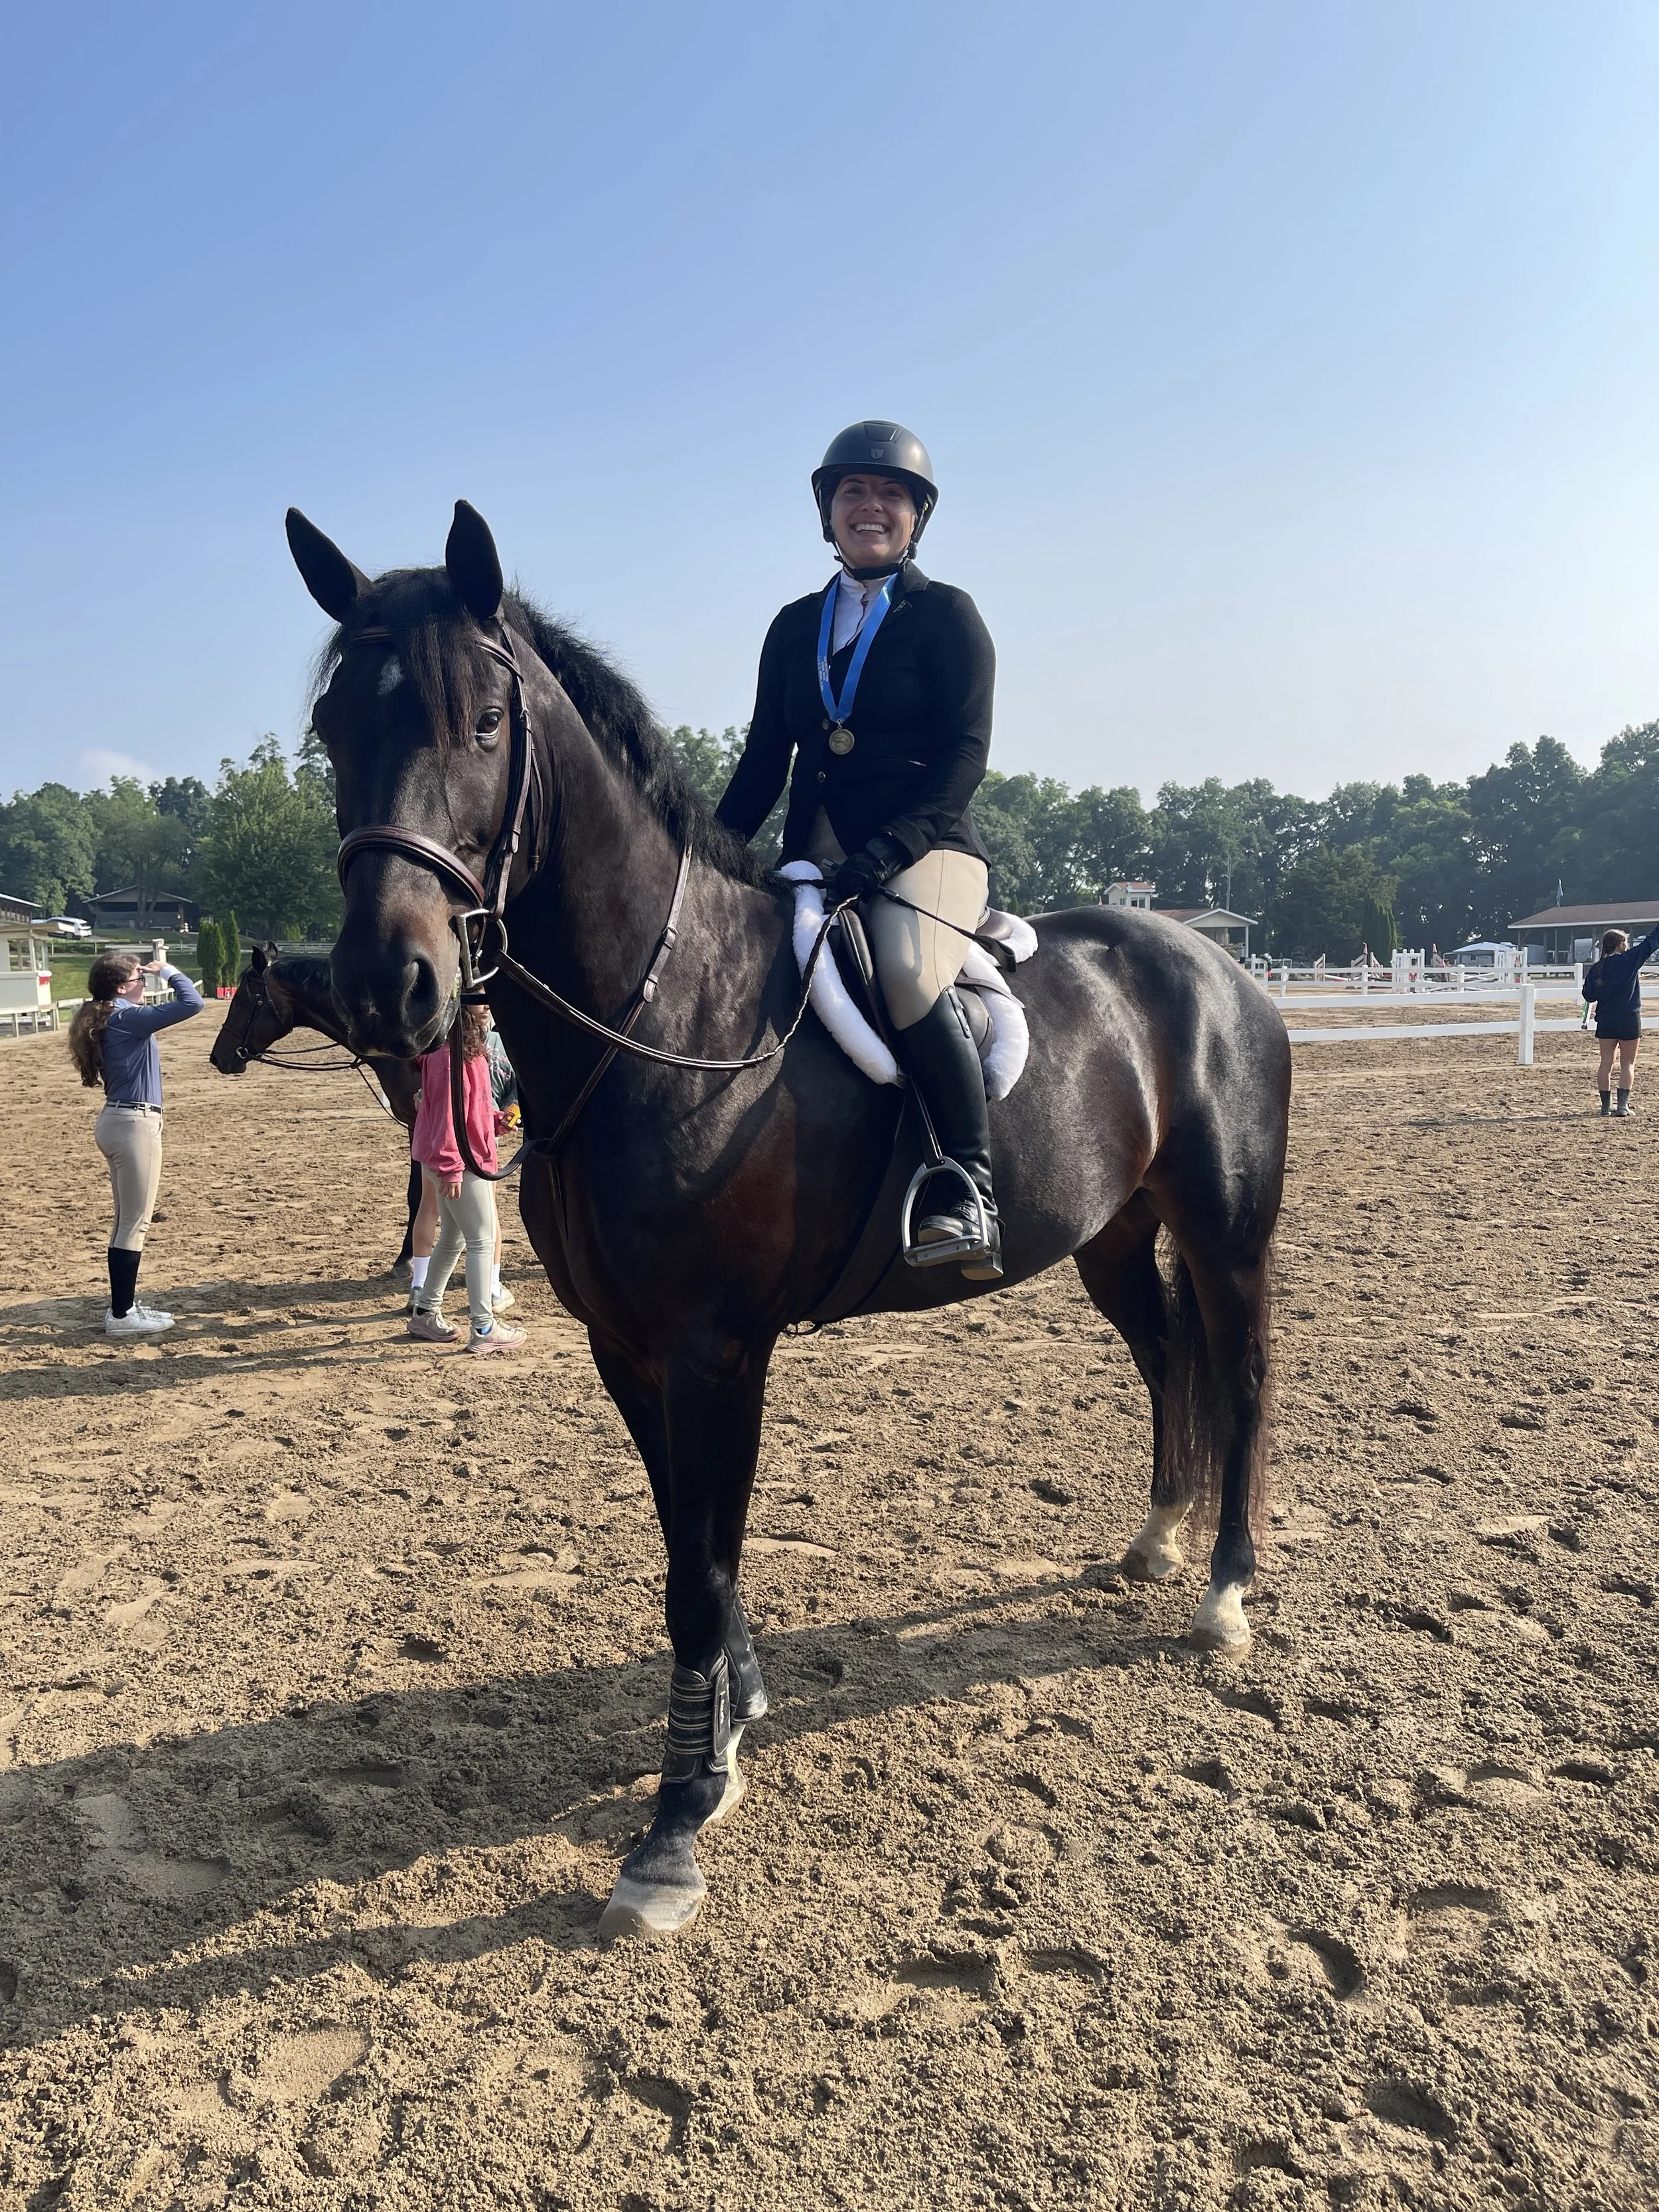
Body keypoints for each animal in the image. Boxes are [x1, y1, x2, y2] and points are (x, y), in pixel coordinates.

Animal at [287, 499, 1292, 1939]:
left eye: (481, 721)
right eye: (333, 728)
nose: (389, 983)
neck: (662, 1018)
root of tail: (1219, 961)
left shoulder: (718, 1348)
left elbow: (695, 1571)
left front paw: (674, 1821)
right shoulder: (627, 1347)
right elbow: (686, 1542)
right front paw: (730, 1718)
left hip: (1224, 1230)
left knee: (1243, 1376)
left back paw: (1222, 1592)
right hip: (1113, 1233)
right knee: (1167, 1360)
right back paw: (1153, 1542)